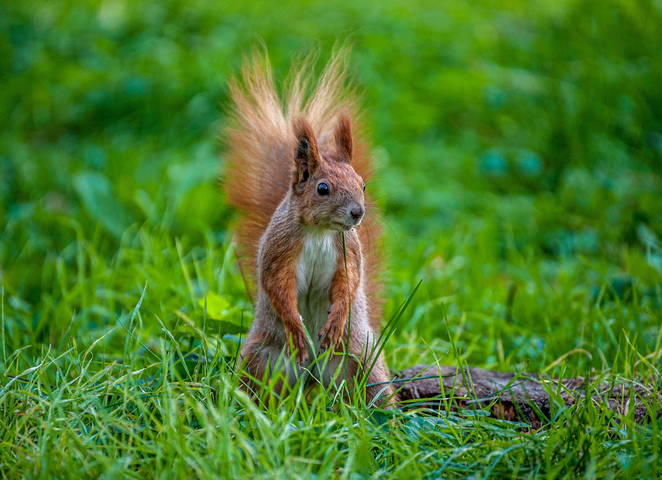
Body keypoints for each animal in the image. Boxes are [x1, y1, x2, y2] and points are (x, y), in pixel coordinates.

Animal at [223, 52, 395, 406]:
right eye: (323, 188)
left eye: (362, 184)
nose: (358, 213)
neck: (320, 233)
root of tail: (313, 377)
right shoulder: (280, 251)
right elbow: (278, 286)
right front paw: (296, 328)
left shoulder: (348, 251)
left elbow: (348, 283)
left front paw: (336, 320)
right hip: (261, 361)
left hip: (363, 362)